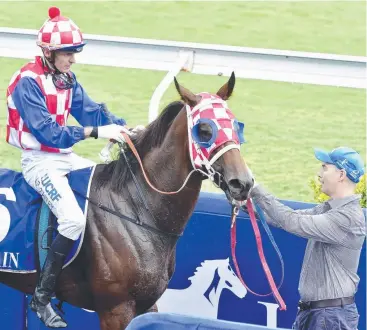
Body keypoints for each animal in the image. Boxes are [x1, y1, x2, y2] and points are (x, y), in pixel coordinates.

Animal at [0, 73, 253, 328]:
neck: (137, 210)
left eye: (235, 124)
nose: (242, 183)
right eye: (204, 129)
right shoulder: (116, 309)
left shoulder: (147, 305)